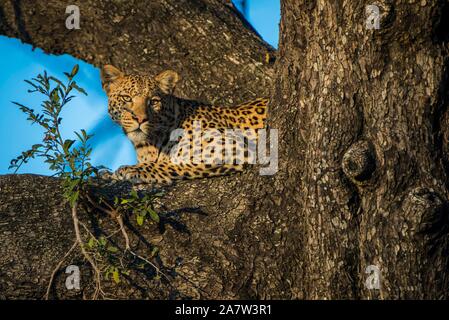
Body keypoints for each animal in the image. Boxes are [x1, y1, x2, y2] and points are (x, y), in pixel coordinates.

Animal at [100, 65, 268, 185]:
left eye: (153, 101)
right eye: (126, 98)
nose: (140, 119)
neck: (148, 145)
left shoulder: (230, 147)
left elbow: (174, 162)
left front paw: (132, 169)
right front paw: (108, 175)